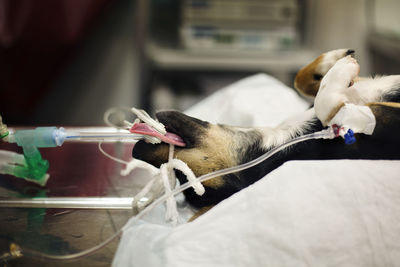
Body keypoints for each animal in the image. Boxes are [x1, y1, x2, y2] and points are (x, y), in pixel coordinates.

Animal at [132, 49, 400, 215]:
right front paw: (340, 71)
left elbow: (300, 80)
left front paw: (333, 61)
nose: (135, 150)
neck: (278, 141)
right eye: (184, 177)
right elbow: (329, 106)